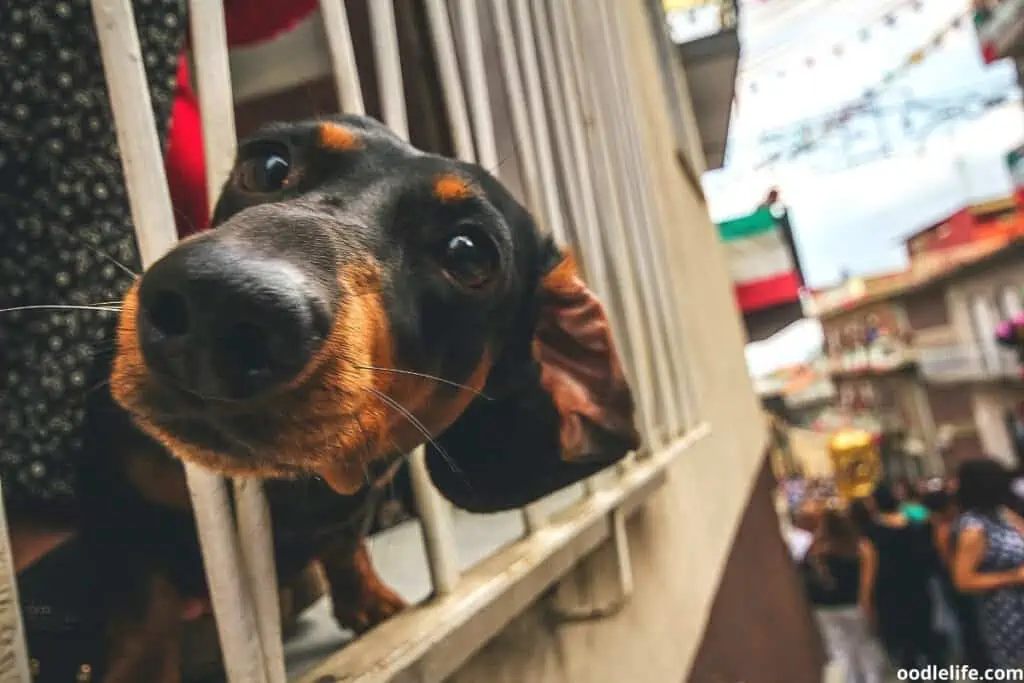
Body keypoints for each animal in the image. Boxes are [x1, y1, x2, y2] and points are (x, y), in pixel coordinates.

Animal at [56, 114, 638, 679]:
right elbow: (145, 607)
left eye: (469, 254)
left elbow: (343, 541)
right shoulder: (114, 492)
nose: (217, 304)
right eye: (268, 165)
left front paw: (368, 599)